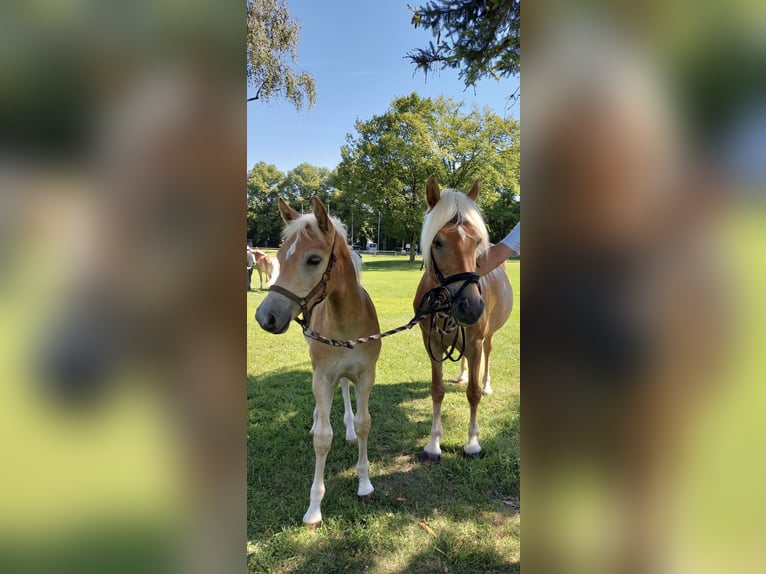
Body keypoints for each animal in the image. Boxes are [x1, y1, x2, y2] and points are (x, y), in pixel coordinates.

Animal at [255, 197, 380, 528]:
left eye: (313, 259)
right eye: (279, 256)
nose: (265, 316)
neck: (347, 322)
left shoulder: (366, 375)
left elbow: (364, 423)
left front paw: (364, 484)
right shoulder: (322, 376)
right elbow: (323, 439)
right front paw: (314, 509)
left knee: (345, 390)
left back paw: (347, 430)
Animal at [416, 176, 512, 464]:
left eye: (477, 242)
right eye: (437, 242)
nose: (470, 307)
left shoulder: (476, 342)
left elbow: (473, 393)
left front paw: (472, 443)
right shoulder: (432, 344)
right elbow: (437, 390)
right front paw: (433, 444)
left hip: (487, 338)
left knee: (487, 356)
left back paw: (487, 384)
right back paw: (461, 374)